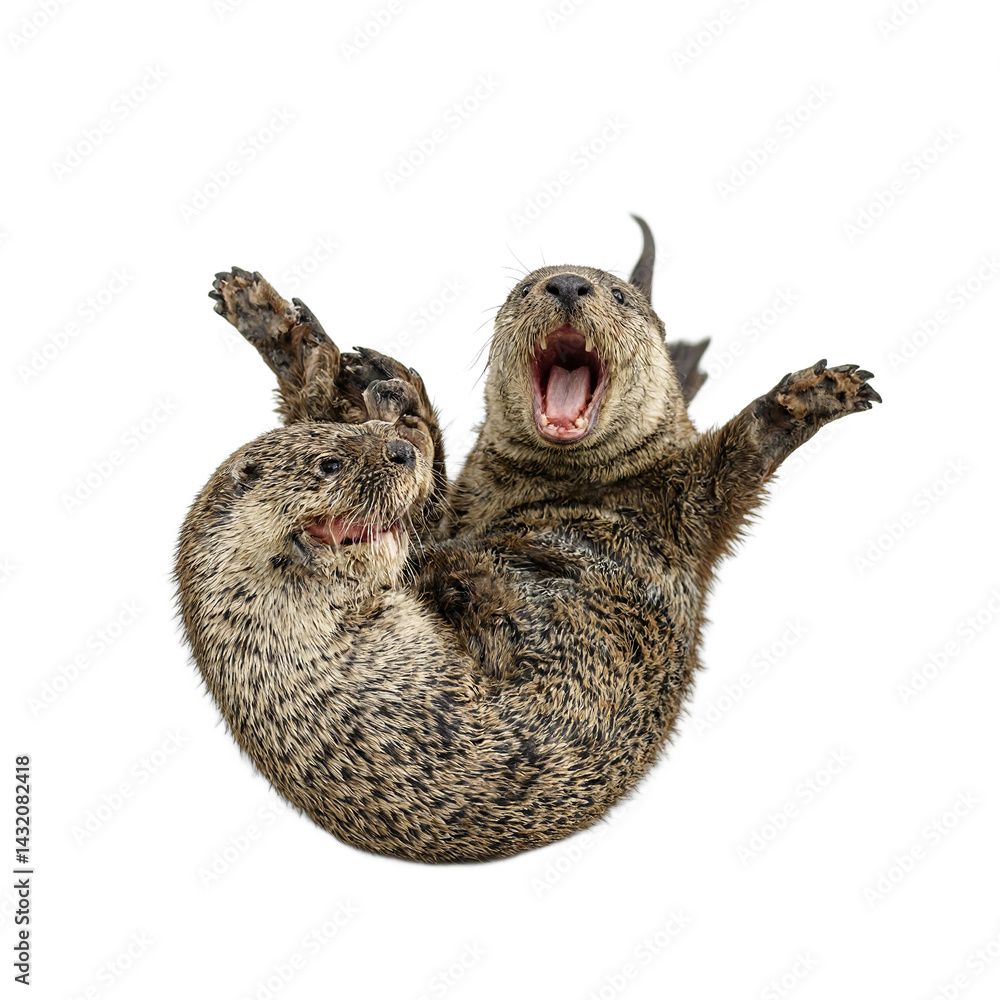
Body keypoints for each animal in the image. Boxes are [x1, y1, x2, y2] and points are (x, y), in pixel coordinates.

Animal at [192, 220, 881, 861]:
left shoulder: (686, 509)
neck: (570, 492)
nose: (568, 283)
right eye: (524, 287)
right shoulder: (459, 520)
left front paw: (811, 396)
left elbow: (737, 458)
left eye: (619, 295)